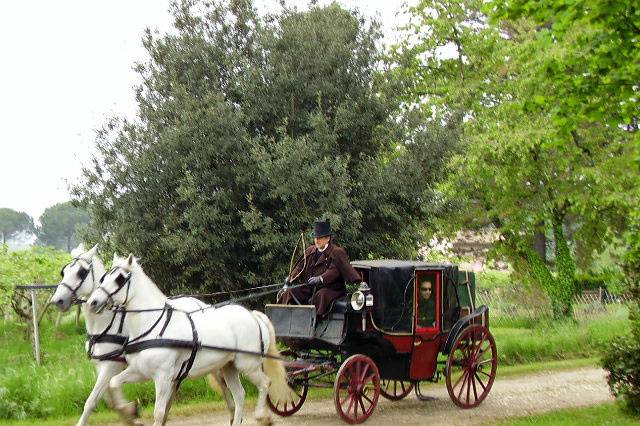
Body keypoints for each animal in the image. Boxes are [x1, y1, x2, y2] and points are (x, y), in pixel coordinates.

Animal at [49, 246, 140, 426]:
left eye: (81, 272)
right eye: (64, 271)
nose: (57, 301)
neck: (106, 322)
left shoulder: (112, 364)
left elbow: (92, 400)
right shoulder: (101, 365)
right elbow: (110, 399)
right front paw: (129, 413)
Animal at [86, 255, 294, 424]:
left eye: (119, 279)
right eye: (104, 277)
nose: (92, 302)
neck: (154, 326)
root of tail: (253, 316)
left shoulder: (163, 377)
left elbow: (159, 413)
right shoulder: (140, 370)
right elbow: (113, 383)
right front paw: (129, 411)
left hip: (247, 364)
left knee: (265, 384)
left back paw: (261, 416)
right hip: (229, 367)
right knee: (240, 395)